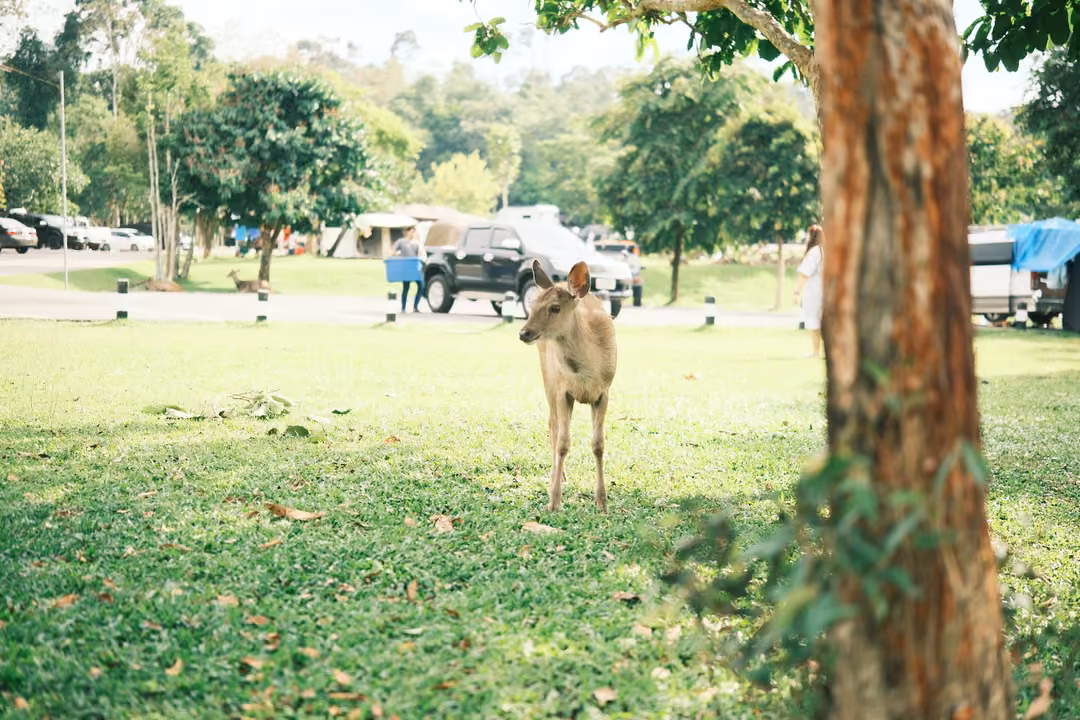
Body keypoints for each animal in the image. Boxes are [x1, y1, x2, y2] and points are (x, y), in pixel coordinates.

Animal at [518, 259, 617, 512]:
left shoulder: (604, 391)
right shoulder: (563, 390)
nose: (524, 333)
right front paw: (554, 501)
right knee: (552, 424)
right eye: (532, 304)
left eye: (555, 308)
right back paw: (557, 476)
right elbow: (563, 442)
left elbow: (598, 444)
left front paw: (602, 502)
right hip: (547, 377)